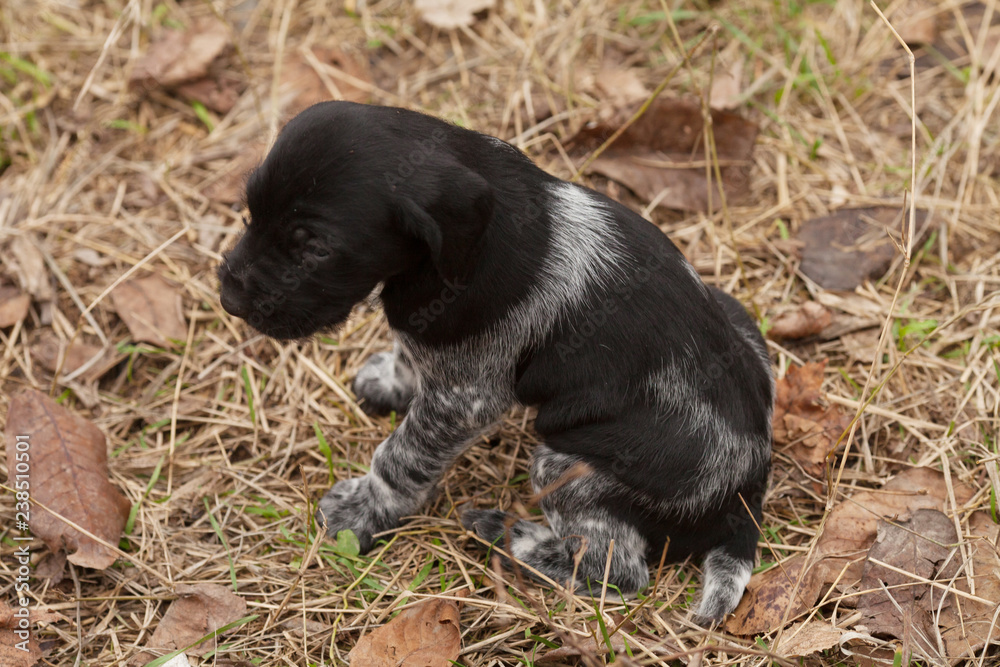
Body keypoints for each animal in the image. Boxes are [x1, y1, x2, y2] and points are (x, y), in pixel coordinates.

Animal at [218, 101, 773, 622]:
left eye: (315, 248)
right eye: (250, 211)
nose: (229, 298)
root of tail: (746, 499)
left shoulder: (466, 401)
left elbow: (400, 458)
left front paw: (366, 509)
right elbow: (408, 356)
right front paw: (391, 383)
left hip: (567, 466)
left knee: (614, 570)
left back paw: (511, 538)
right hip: (734, 313)